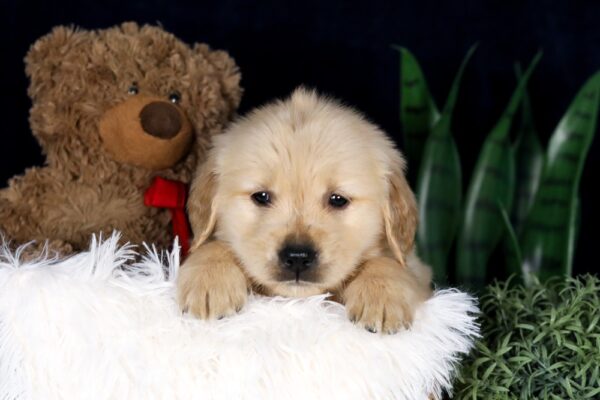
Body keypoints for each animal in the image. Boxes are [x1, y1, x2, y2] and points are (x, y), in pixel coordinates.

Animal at [178, 88, 432, 334]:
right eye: (261, 196)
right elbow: (211, 246)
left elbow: (390, 264)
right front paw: (210, 280)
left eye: (338, 199)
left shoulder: (419, 270)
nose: (297, 257)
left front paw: (381, 296)